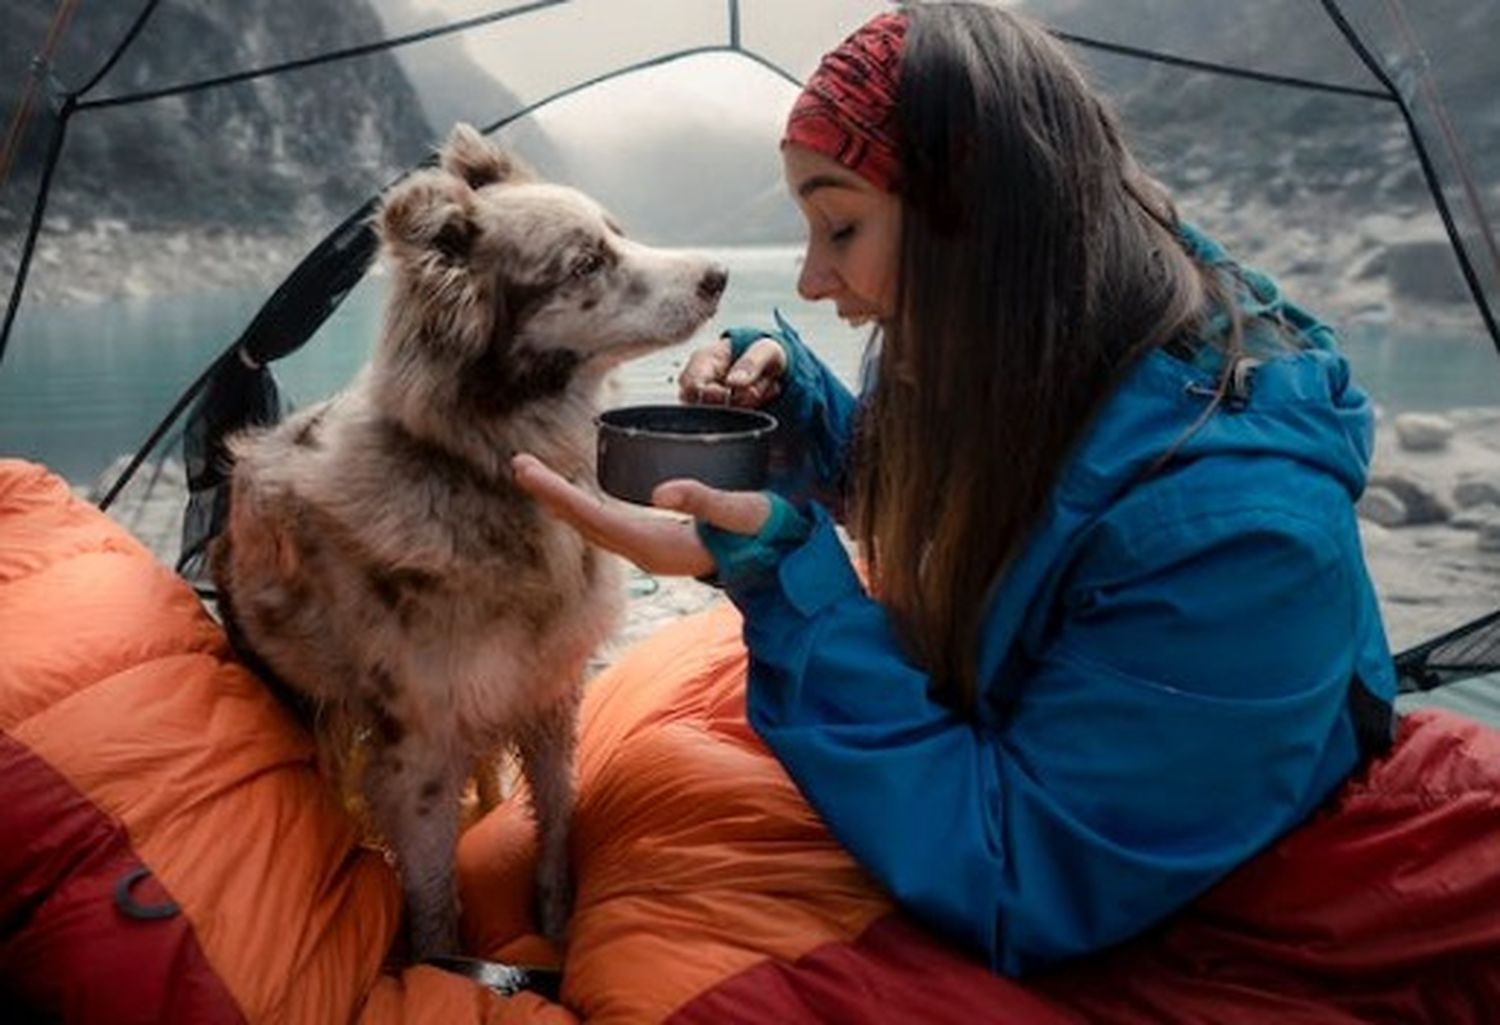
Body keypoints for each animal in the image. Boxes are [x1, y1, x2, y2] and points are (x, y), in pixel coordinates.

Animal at [210, 122, 726, 960]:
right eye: (586, 263)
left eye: (618, 232)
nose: (718, 275)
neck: (480, 470)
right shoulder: (418, 752)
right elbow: (434, 901)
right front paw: (445, 966)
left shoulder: (549, 695)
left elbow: (556, 827)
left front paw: (556, 930)